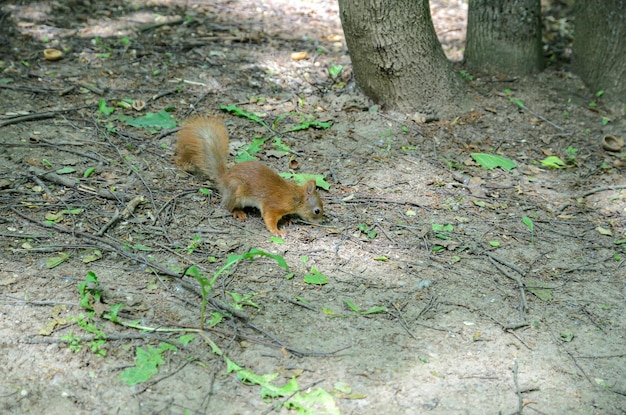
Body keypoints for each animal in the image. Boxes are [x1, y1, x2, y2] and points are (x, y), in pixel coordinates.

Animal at [174, 117, 324, 237]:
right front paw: (277, 231)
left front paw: (288, 219)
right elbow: (269, 219)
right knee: (227, 206)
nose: (321, 222)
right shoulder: (273, 206)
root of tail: (224, 180)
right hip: (235, 189)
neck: (295, 197)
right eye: (317, 211)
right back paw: (238, 212)